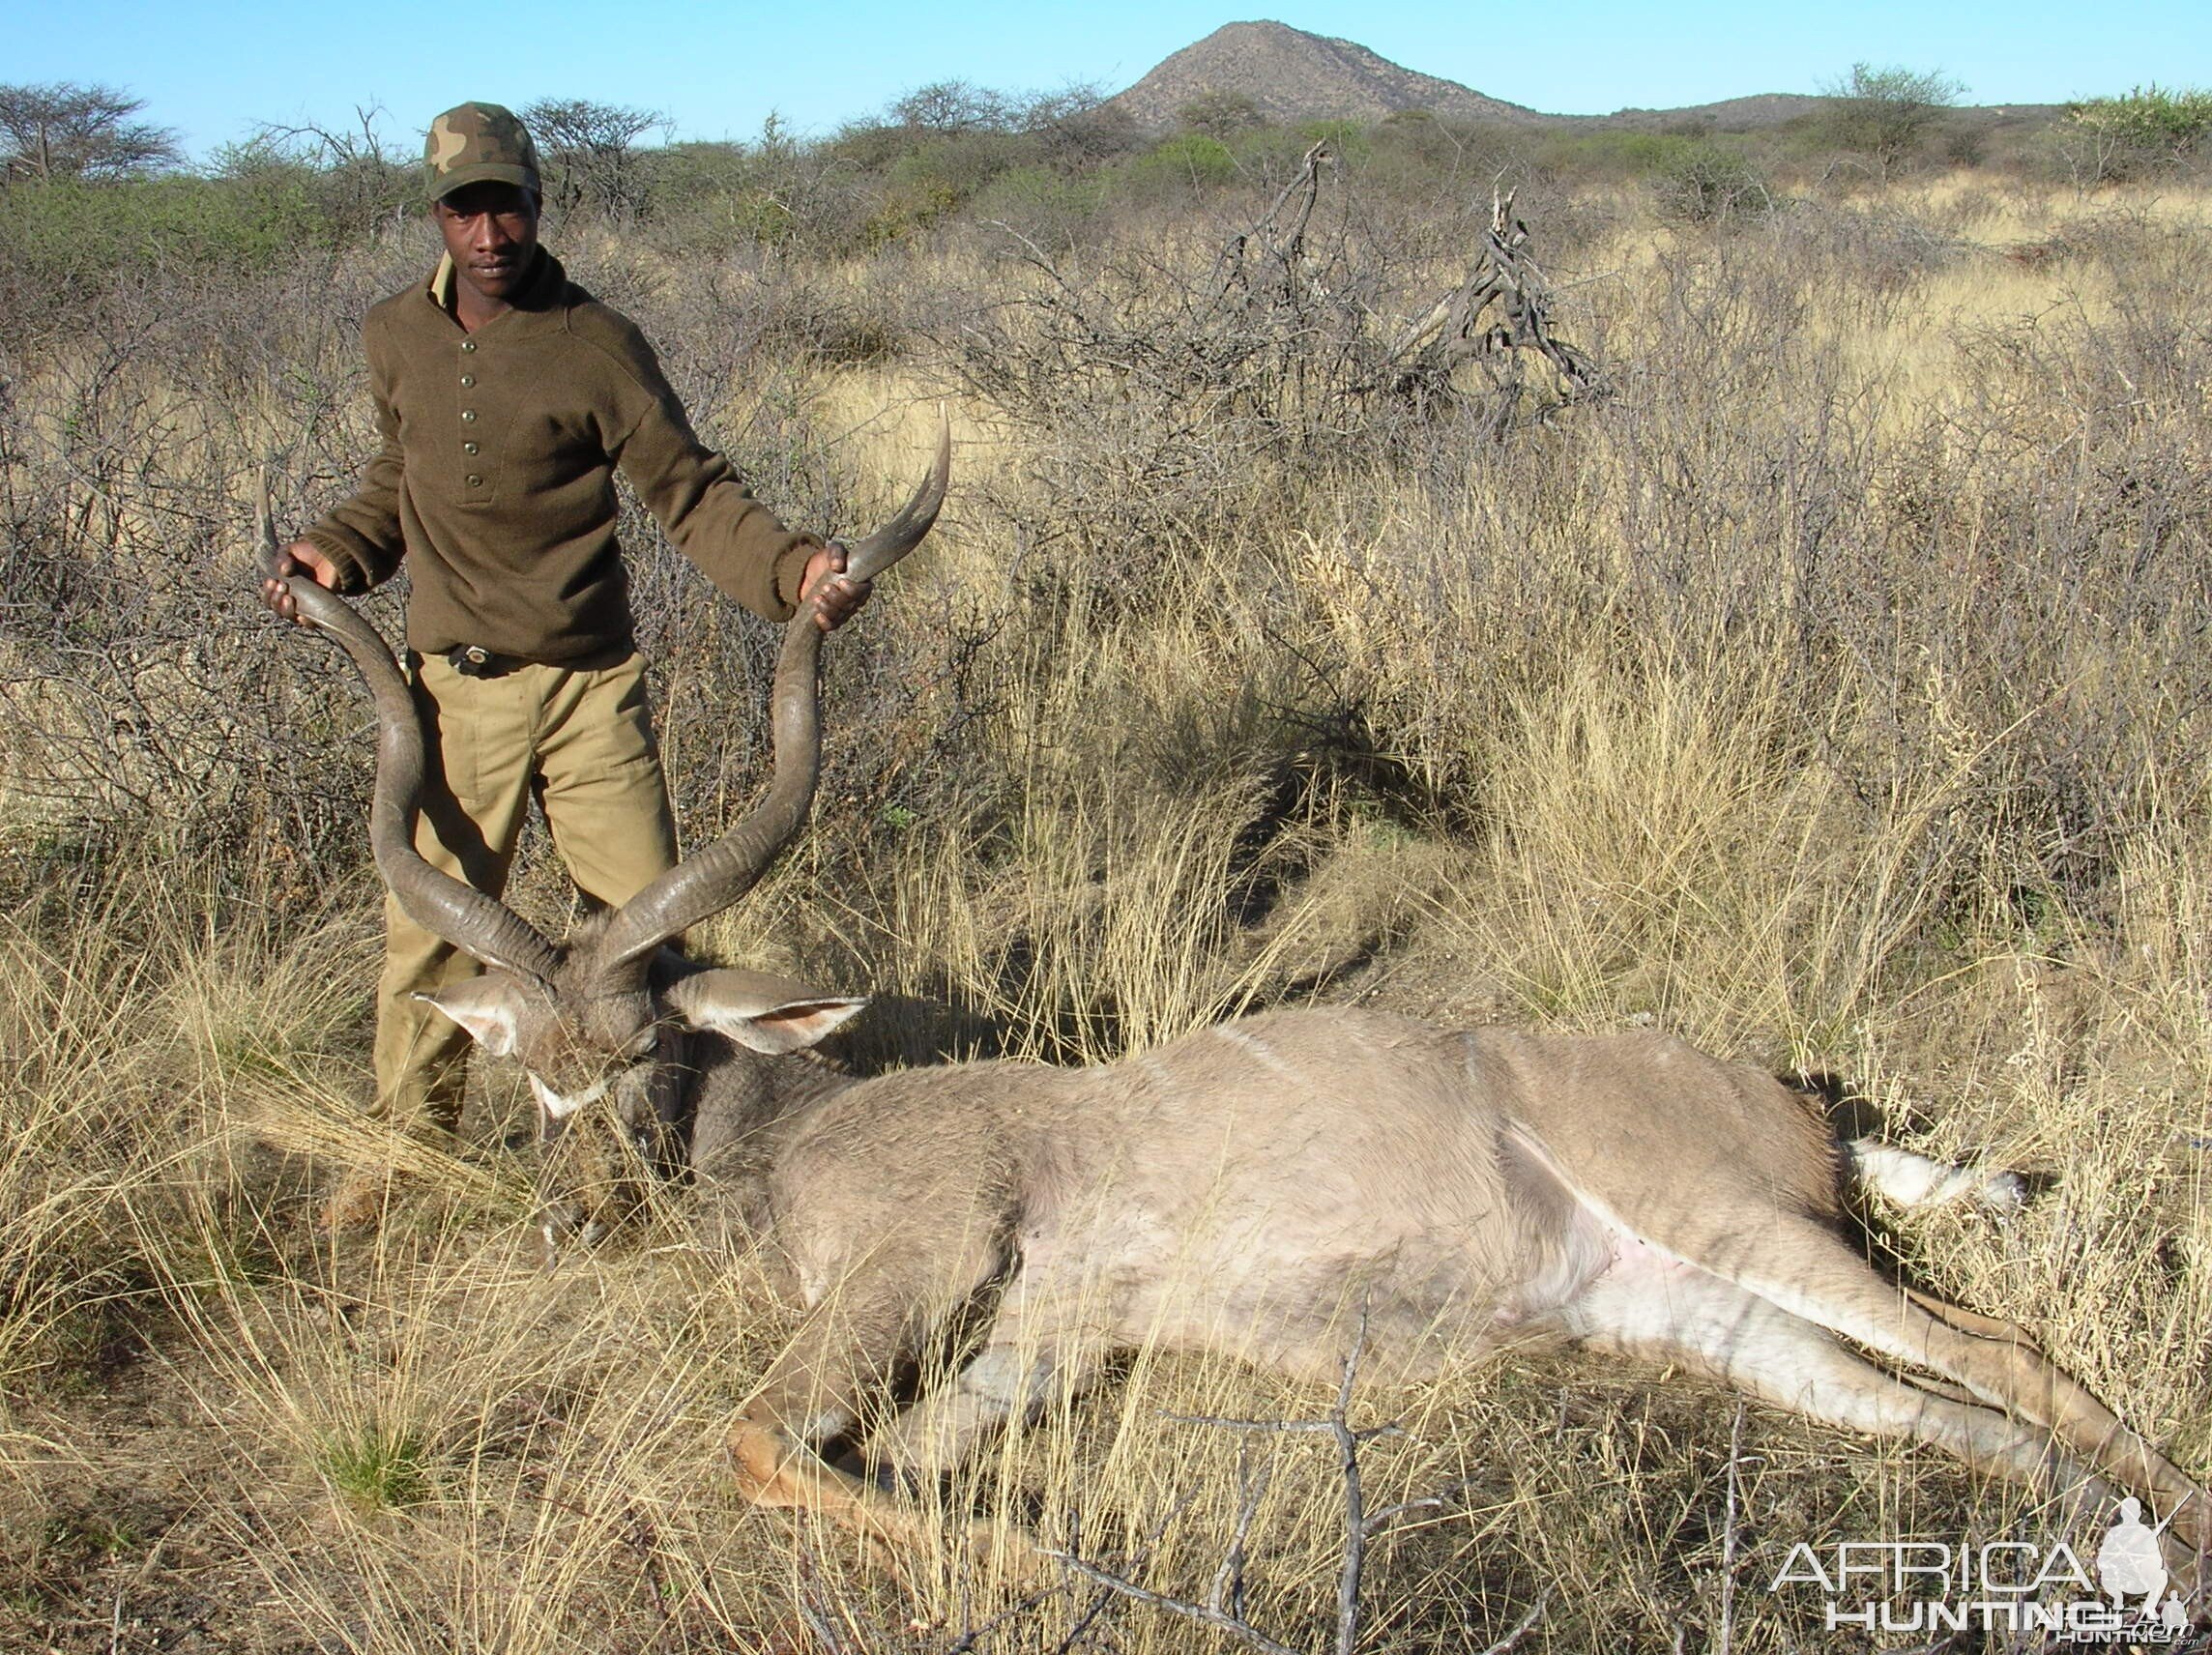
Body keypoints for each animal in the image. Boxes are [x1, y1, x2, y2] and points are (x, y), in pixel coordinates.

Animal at [250, 433, 2202, 1592]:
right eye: (527, 1070)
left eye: (645, 1052)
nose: (580, 1207)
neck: (815, 1130)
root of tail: (1789, 1093)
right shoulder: (1043, 1342)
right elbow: (895, 1459)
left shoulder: (929, 1259)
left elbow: (762, 1443)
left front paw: (1103, 1579)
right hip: (1701, 1318)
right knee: (1961, 1416)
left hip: (1736, 1221)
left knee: (2015, 1355)